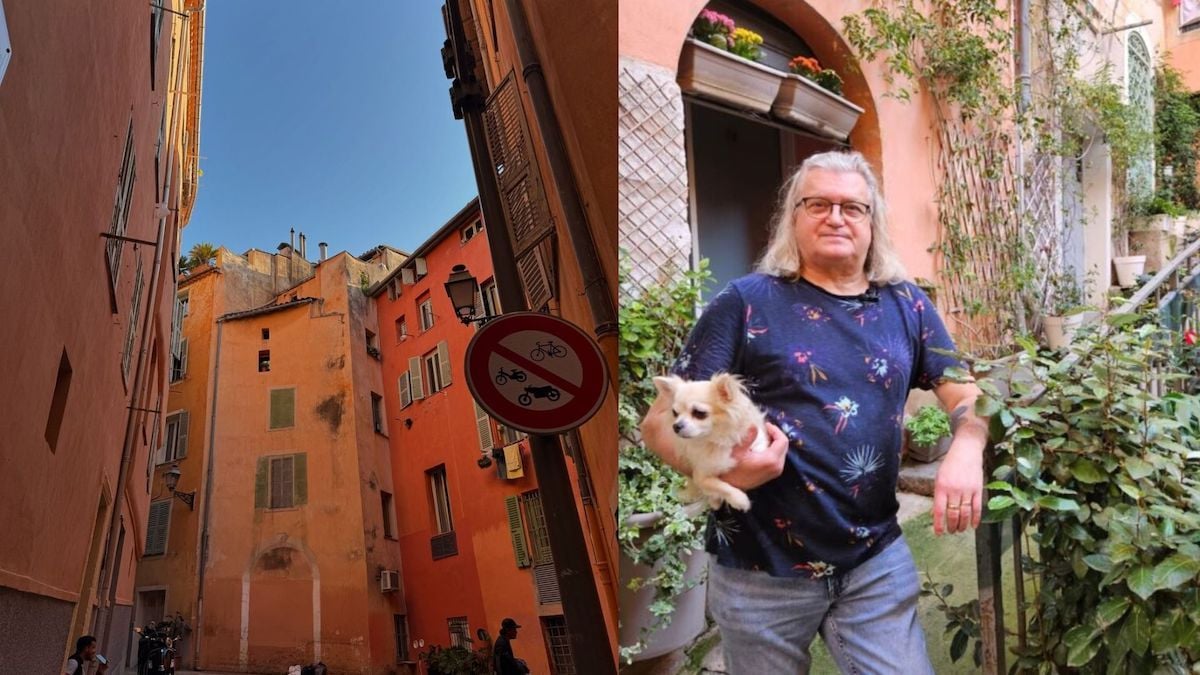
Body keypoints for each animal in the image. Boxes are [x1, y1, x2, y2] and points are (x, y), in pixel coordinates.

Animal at [657, 369, 768, 506]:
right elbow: (718, 486)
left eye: (699, 413)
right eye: (675, 413)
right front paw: (740, 500)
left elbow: (759, 448)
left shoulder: (759, 439)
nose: (676, 426)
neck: (716, 439)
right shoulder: (700, 475)